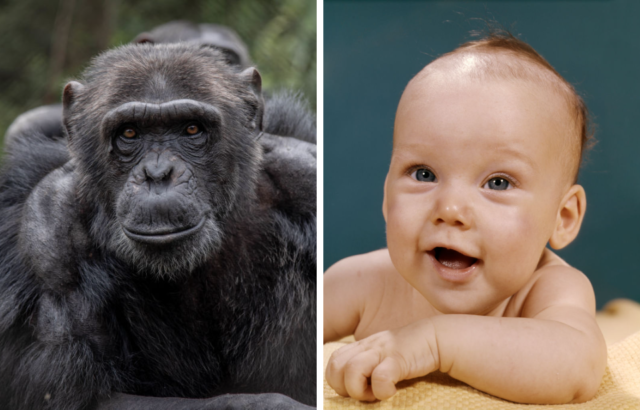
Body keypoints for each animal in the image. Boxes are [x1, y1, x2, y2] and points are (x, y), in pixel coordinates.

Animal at [0, 43, 318, 408]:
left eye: (192, 129)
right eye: (129, 133)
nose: (158, 174)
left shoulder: (306, 172)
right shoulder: (47, 237)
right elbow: (80, 391)